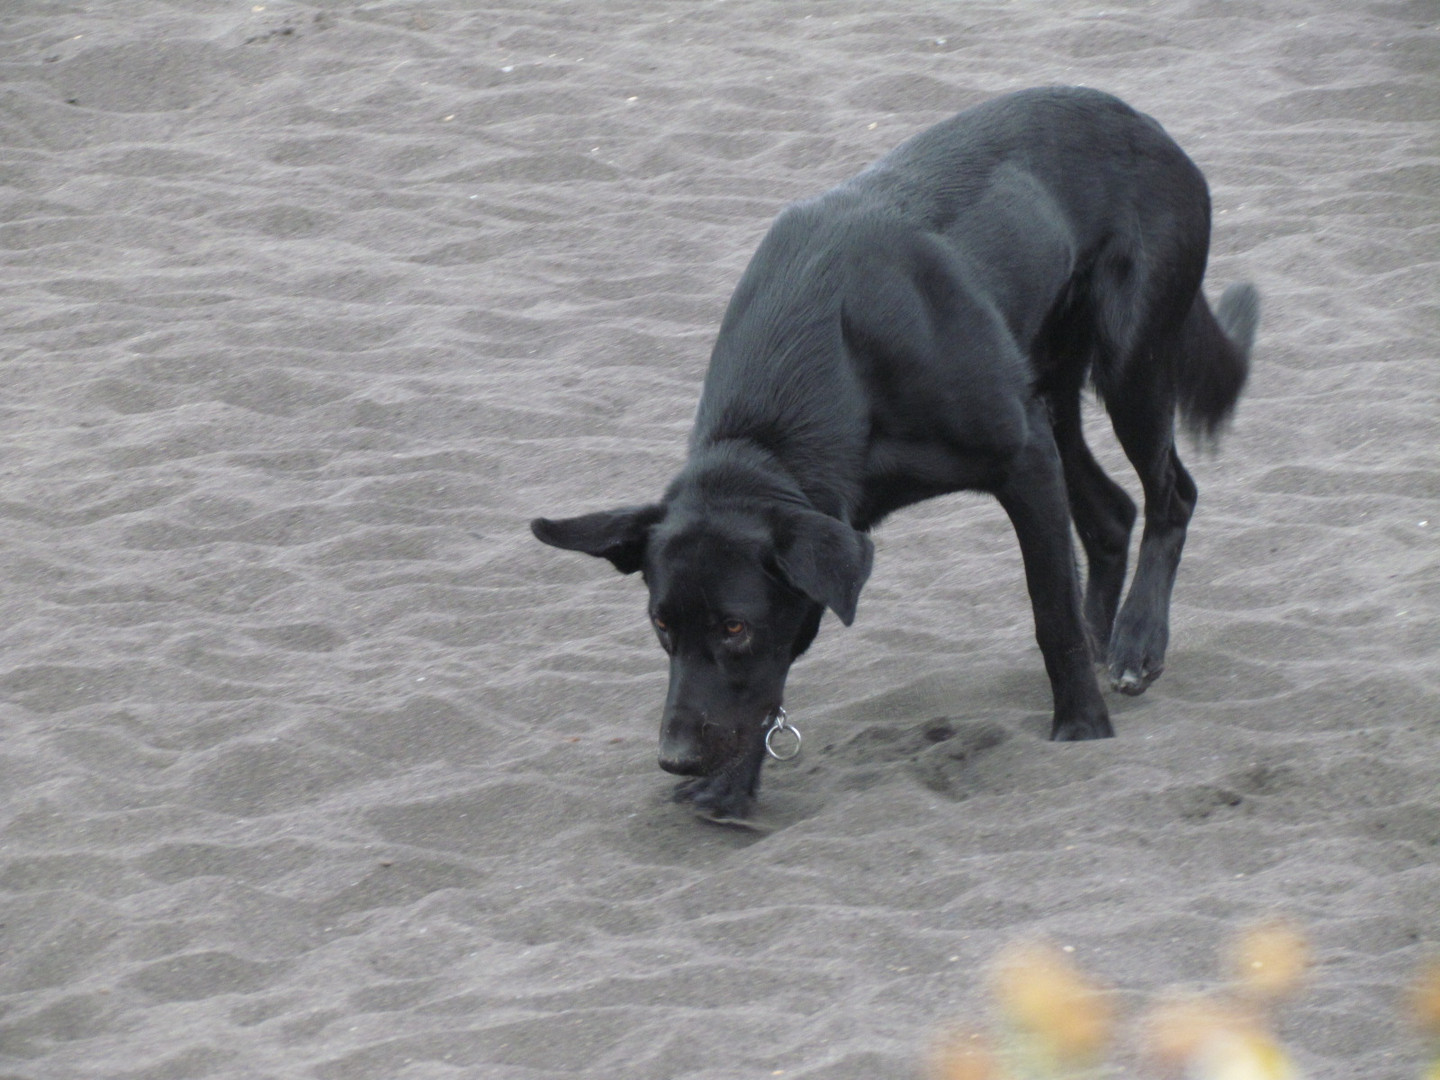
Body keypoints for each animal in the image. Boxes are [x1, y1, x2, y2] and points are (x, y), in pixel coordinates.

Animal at [532, 88, 1261, 817]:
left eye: (734, 628)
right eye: (661, 625)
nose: (675, 758)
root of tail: (1147, 125)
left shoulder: (1022, 459)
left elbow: (1050, 612)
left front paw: (1081, 728)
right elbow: (771, 683)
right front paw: (731, 786)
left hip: (1130, 361)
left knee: (1172, 493)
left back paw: (1136, 641)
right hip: (1053, 388)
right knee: (1110, 514)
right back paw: (1106, 638)